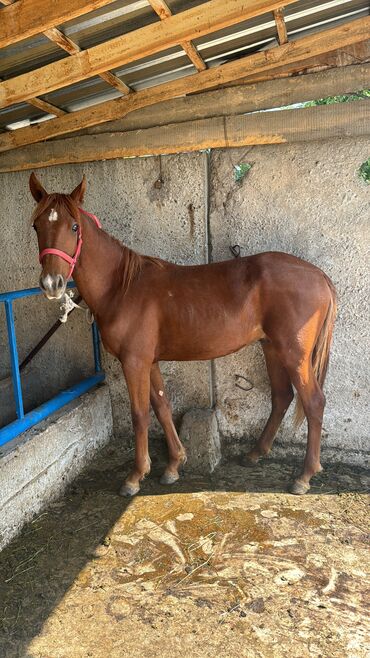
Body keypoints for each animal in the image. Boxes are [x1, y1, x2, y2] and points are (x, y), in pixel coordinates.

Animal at [28, 172, 336, 494]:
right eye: (37, 226)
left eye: (74, 226)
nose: (52, 284)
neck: (121, 287)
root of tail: (318, 276)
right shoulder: (148, 361)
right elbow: (162, 406)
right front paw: (174, 464)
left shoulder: (134, 362)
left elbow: (140, 415)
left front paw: (135, 476)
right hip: (272, 347)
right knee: (282, 397)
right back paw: (256, 453)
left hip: (294, 354)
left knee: (313, 402)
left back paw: (304, 476)